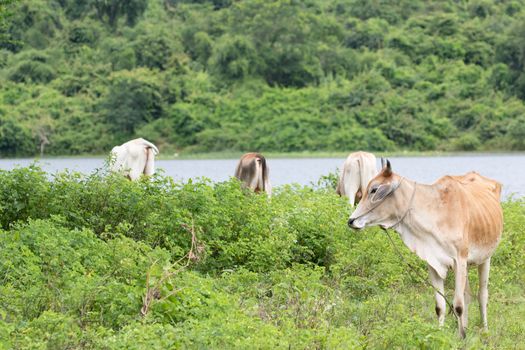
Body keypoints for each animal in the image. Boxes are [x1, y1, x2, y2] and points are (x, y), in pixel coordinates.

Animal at [348, 160, 504, 338]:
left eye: (374, 189)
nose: (351, 220)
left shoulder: (460, 260)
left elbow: (458, 305)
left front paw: (461, 338)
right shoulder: (433, 263)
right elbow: (440, 306)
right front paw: (440, 333)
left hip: (486, 258)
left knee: (482, 296)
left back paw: (485, 330)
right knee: (468, 295)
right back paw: (466, 327)